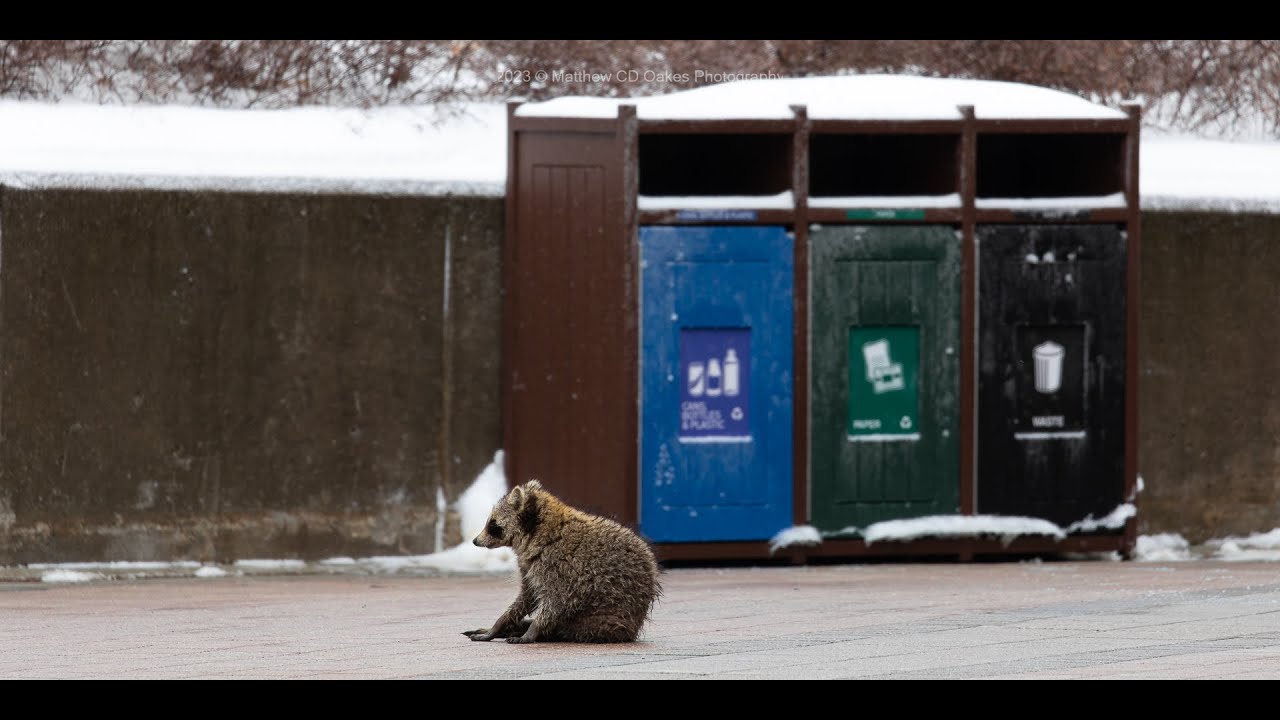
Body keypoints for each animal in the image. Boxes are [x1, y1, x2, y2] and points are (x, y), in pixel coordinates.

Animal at [463, 479, 662, 643]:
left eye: (492, 524)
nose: (475, 541)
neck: (540, 533)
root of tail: (633, 629)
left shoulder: (558, 566)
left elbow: (556, 601)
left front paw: (533, 629)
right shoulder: (530, 566)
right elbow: (528, 596)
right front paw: (500, 624)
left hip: (601, 619)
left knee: (567, 626)